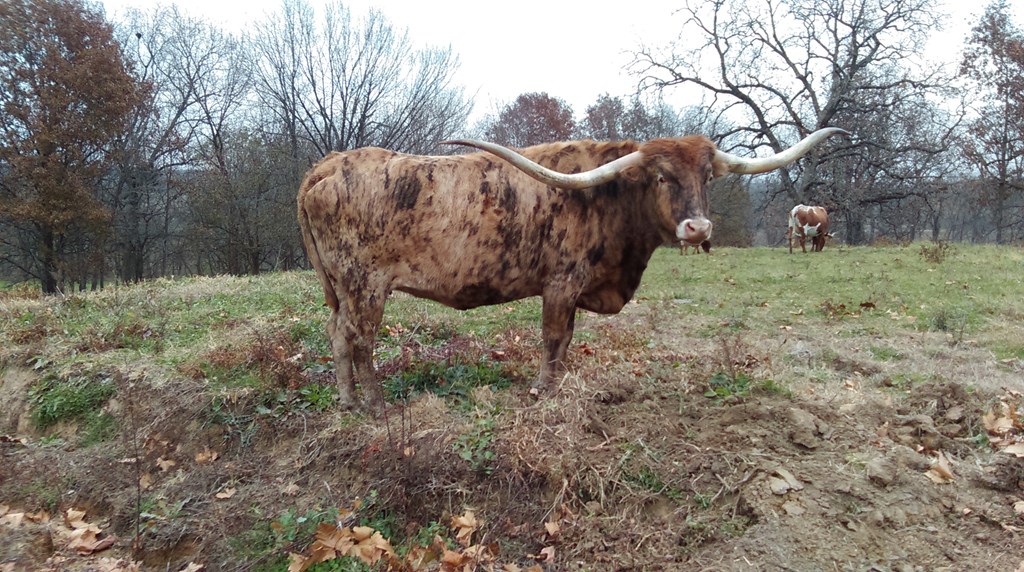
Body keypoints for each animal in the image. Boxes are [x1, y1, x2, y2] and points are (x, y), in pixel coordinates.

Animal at [298, 128, 847, 408]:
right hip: (365, 285)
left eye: (707, 175)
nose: (698, 228)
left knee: (336, 333)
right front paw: (544, 391)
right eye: (660, 176)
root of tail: (327, 165)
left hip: (342, 289)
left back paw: (347, 402)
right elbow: (554, 338)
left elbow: (565, 343)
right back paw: (374, 405)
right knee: (360, 339)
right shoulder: (560, 284)